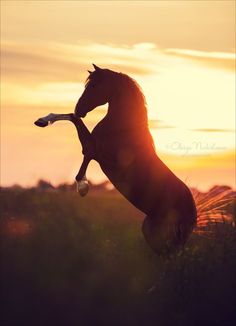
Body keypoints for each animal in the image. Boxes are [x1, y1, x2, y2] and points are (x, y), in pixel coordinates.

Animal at [35, 64, 196, 255]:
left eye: (93, 85)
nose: (79, 109)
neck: (122, 128)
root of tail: (194, 214)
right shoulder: (95, 149)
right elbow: (72, 119)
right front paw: (41, 121)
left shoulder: (97, 151)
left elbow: (83, 147)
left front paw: (82, 187)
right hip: (150, 230)